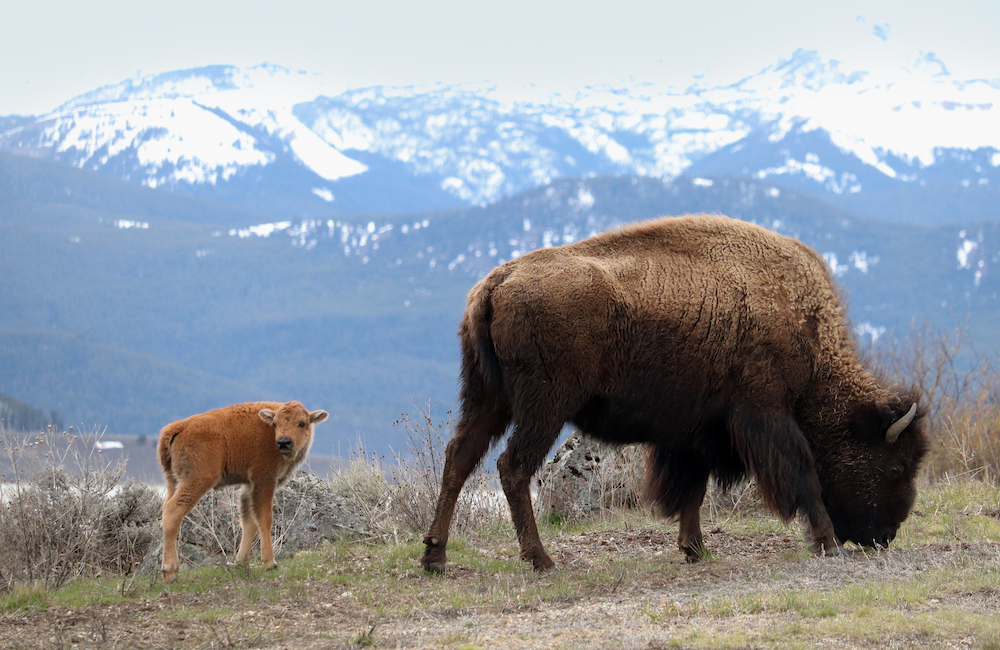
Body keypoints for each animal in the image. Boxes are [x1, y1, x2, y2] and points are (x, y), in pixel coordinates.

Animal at [421, 214, 928, 572]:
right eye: (895, 465)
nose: (885, 535)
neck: (797, 316)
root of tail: (497, 282)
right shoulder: (766, 414)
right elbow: (802, 474)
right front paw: (827, 543)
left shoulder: (697, 432)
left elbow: (692, 489)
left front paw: (694, 549)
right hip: (543, 406)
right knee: (512, 467)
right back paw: (541, 560)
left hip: (489, 400)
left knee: (459, 457)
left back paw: (435, 557)